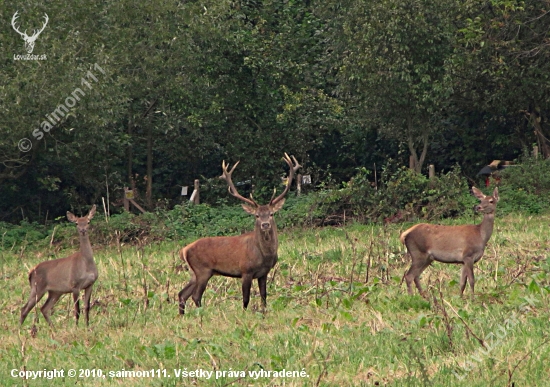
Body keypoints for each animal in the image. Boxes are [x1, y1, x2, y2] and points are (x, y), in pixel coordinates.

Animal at [179, 153, 302, 314]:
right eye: (256, 215)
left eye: (271, 214)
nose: (265, 224)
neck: (264, 255)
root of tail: (184, 250)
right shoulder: (246, 271)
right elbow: (246, 298)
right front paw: (244, 314)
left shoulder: (264, 273)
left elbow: (264, 296)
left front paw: (264, 312)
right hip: (202, 270)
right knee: (195, 296)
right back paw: (202, 314)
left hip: (194, 273)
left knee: (182, 294)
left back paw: (183, 315)